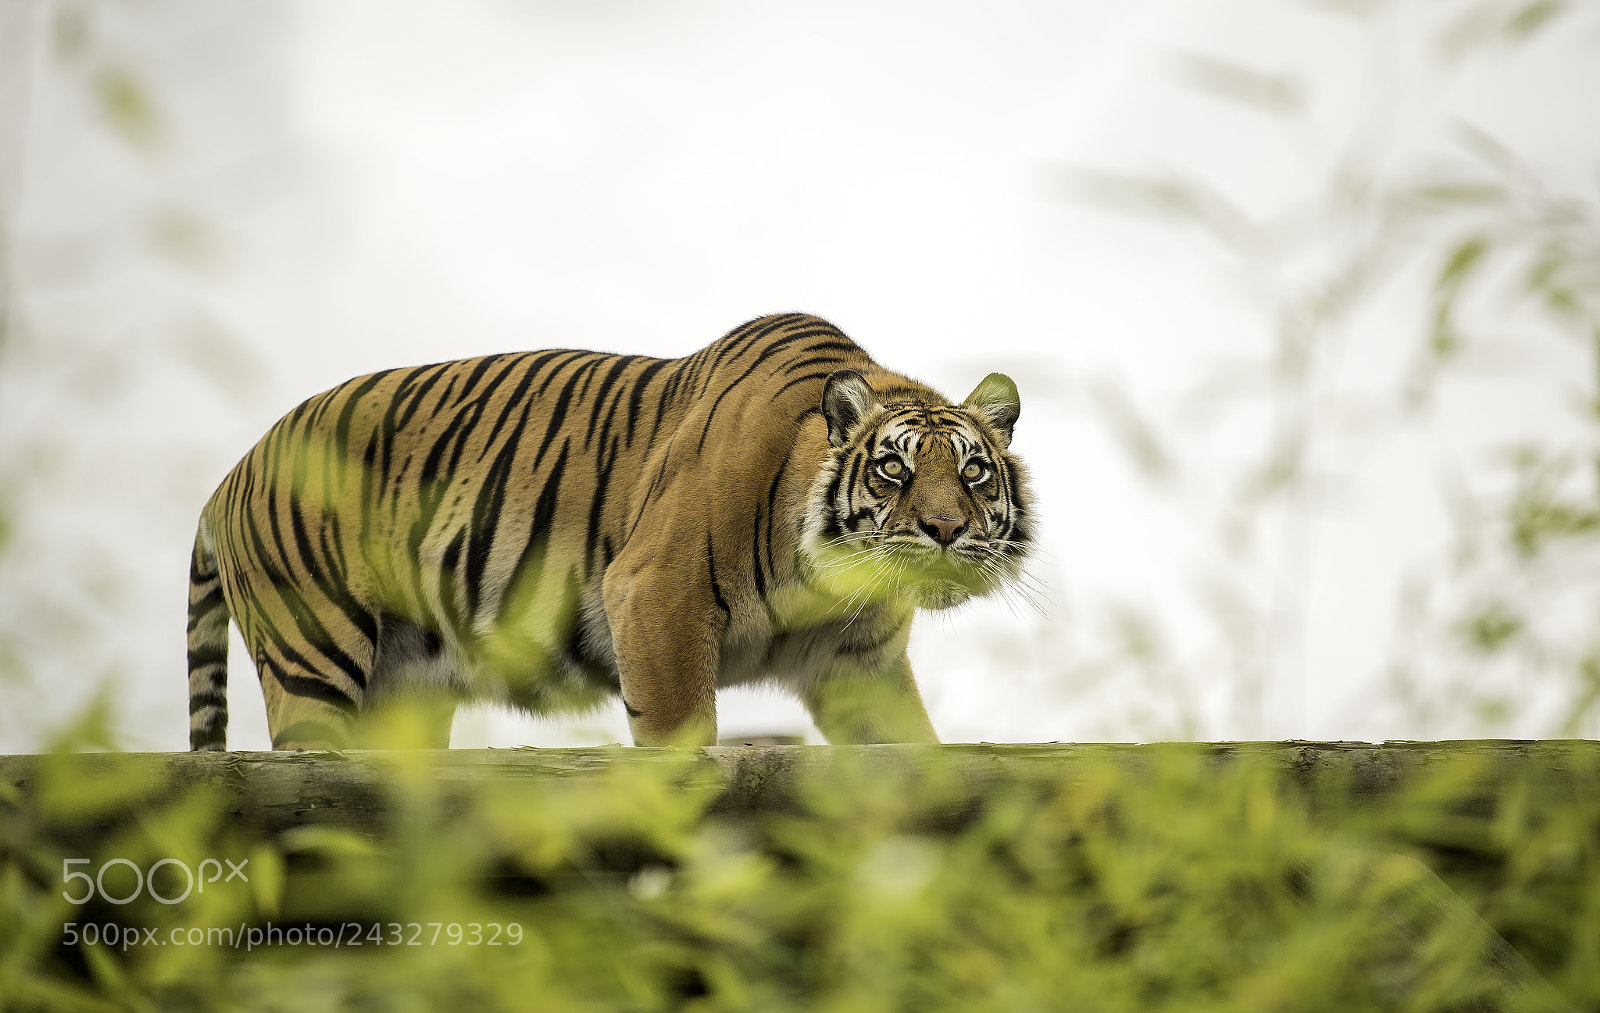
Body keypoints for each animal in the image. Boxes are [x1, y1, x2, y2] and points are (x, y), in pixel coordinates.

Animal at [186, 312, 1032, 750]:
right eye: (893, 468)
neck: (827, 581)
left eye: (973, 473)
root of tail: (229, 475)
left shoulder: (860, 665)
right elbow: (682, 745)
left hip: (407, 693)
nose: (945, 528)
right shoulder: (657, 596)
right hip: (312, 654)